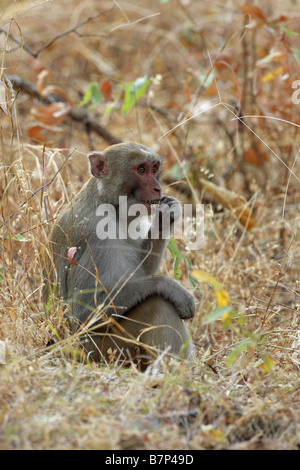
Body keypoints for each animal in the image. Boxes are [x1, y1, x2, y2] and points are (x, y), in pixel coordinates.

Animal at [44, 141, 195, 370]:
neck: (110, 207)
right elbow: (81, 312)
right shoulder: (97, 238)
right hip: (100, 352)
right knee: (157, 303)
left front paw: (165, 215)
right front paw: (168, 285)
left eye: (154, 168)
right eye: (141, 170)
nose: (158, 188)